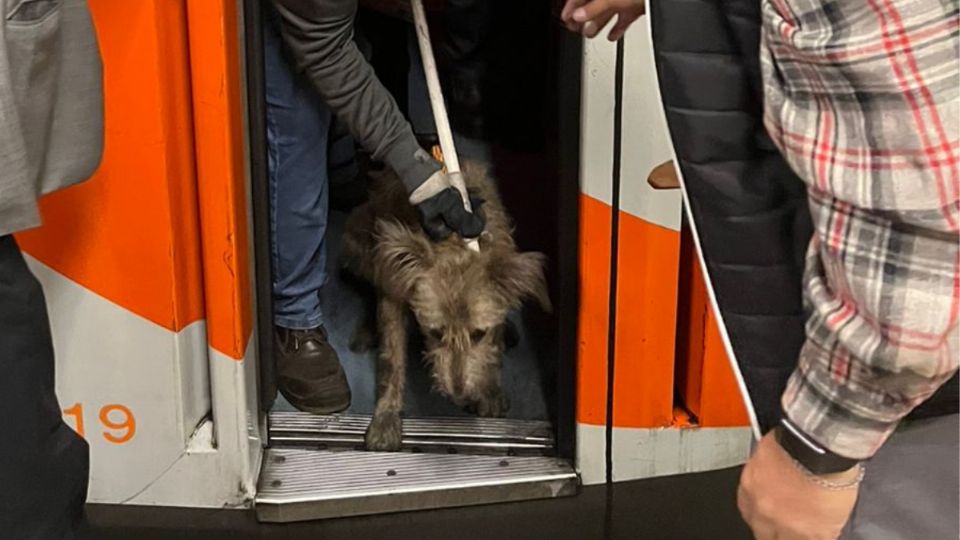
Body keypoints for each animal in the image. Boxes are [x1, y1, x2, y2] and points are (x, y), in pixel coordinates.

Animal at [344, 161, 552, 452]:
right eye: (434, 333)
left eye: (479, 333)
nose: (460, 396)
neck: (455, 242)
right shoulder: (393, 291)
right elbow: (392, 359)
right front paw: (386, 417)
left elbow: (494, 344)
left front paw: (490, 390)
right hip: (360, 244)